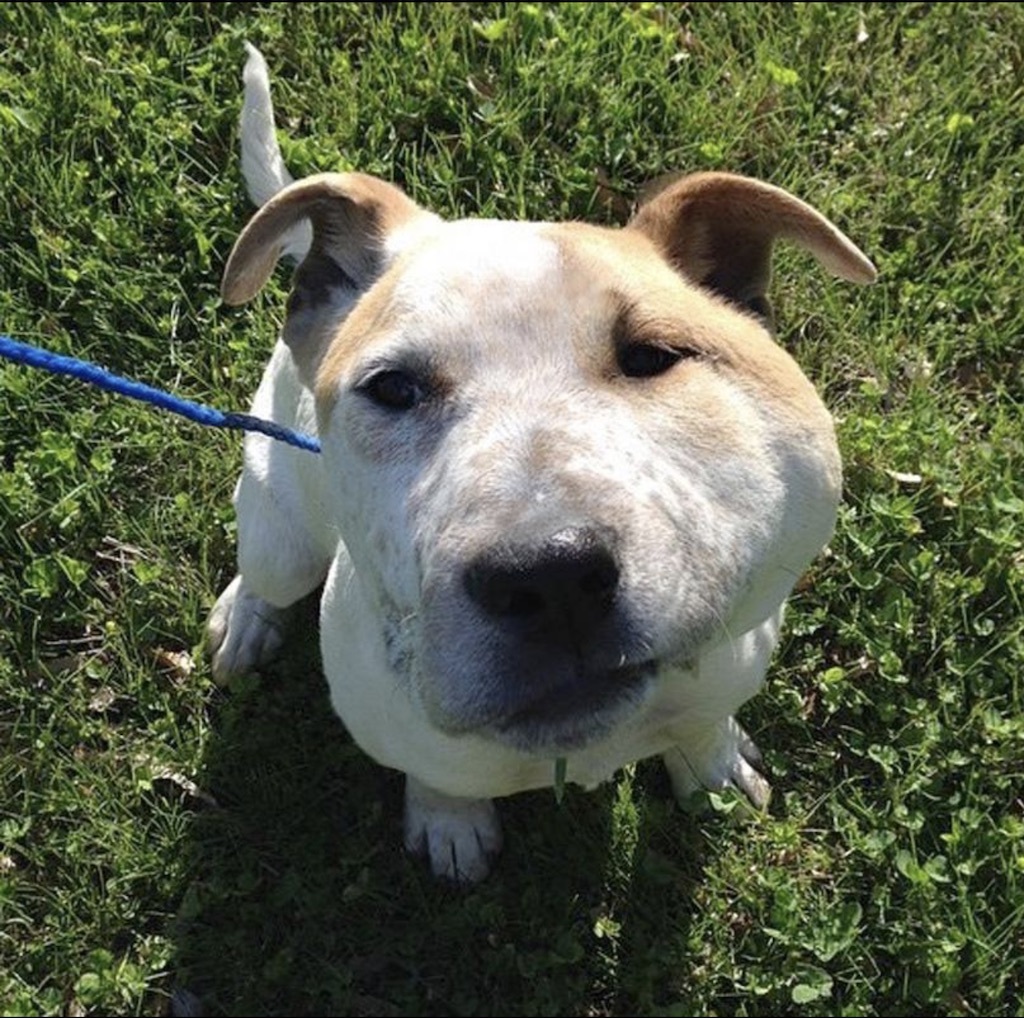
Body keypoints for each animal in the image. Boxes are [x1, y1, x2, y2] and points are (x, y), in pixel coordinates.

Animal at [205, 43, 872, 876]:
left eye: (653, 355)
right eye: (392, 387)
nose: (548, 576)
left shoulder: (731, 659)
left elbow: (702, 721)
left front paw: (709, 762)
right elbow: (436, 773)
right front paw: (450, 819)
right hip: (283, 528)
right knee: (267, 569)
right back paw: (245, 619)